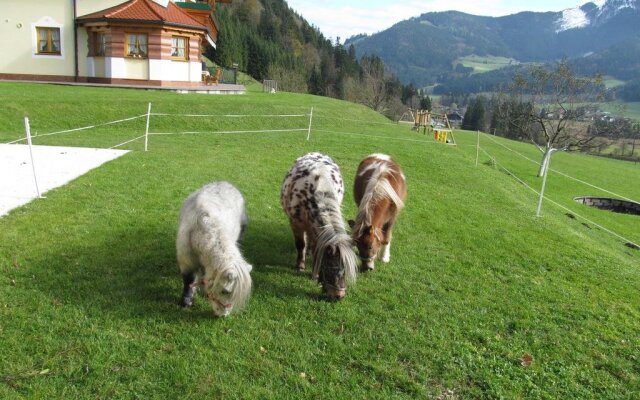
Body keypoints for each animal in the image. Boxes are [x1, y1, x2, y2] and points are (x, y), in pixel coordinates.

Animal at [178, 181, 255, 316]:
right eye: (225, 291)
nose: (224, 315)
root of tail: (225, 182)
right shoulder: (186, 261)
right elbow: (189, 280)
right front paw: (186, 301)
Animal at [282, 152, 358, 300]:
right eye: (329, 267)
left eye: (345, 269)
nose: (339, 295)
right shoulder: (296, 223)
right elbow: (300, 244)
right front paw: (300, 266)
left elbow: (317, 249)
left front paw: (315, 274)